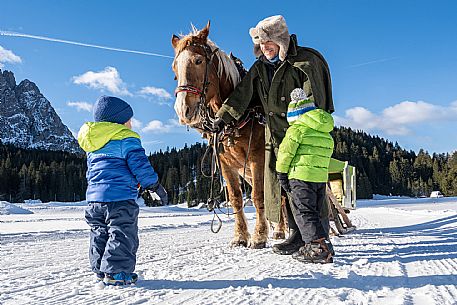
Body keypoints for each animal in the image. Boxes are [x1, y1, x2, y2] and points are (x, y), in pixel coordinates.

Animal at [171, 22, 278, 247]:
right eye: (174, 68)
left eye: (198, 60)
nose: (183, 110)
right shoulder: (226, 164)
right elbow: (236, 197)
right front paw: (240, 236)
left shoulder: (257, 159)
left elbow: (258, 196)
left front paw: (259, 236)